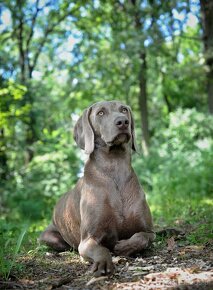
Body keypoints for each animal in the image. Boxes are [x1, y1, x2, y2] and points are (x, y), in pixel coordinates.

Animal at [39, 101, 155, 276]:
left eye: (124, 109)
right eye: (100, 113)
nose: (123, 122)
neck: (114, 166)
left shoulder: (149, 231)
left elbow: (142, 237)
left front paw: (124, 246)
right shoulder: (87, 239)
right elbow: (101, 249)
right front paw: (103, 263)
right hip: (49, 237)